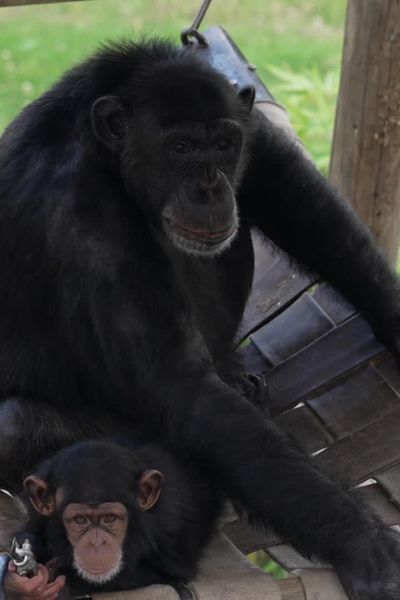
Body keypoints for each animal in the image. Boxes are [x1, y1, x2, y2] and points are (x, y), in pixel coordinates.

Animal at [3, 438, 222, 596]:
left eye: (109, 518)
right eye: (80, 520)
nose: (96, 542)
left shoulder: (171, 523)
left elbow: (168, 576)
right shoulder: (37, 514)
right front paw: (17, 582)